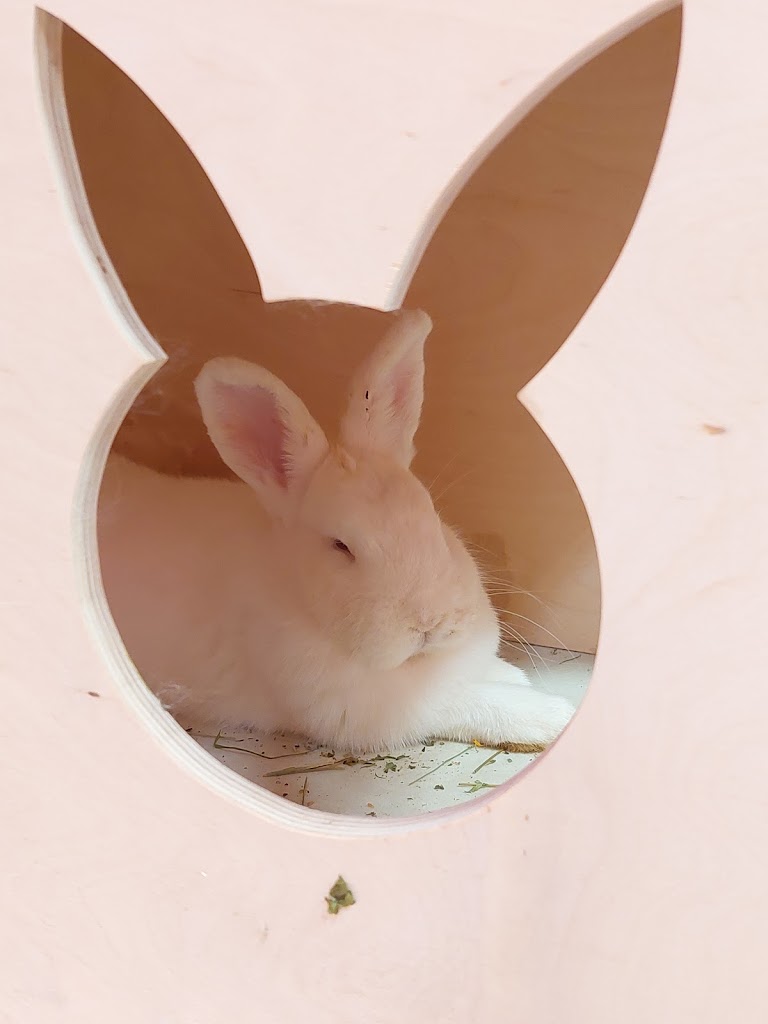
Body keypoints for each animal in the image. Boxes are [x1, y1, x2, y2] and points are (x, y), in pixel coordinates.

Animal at [98, 309, 574, 754]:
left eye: (431, 514)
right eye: (340, 546)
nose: (429, 623)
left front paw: (514, 675)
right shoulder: (367, 709)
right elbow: (464, 700)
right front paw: (552, 716)